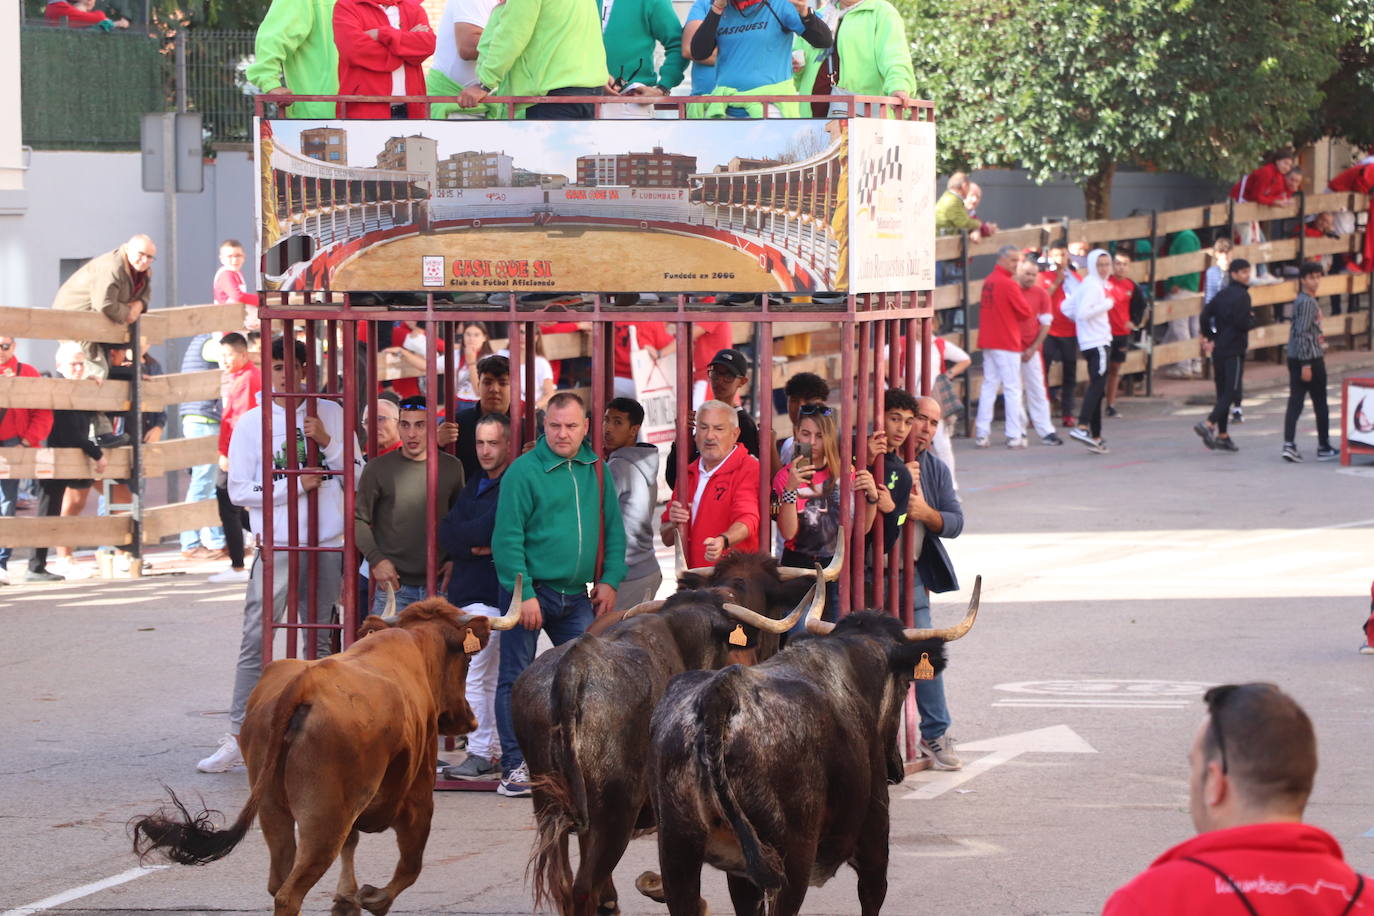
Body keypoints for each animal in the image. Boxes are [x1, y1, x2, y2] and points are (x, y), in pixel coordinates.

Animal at [129, 590, 524, 911]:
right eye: (467, 660)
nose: (467, 720)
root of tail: (303, 685)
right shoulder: (418, 798)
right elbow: (409, 867)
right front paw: (371, 897)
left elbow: (352, 852)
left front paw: (347, 899)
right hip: (324, 819)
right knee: (290, 893)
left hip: (274, 809)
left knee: (278, 882)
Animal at [648, 579, 983, 916]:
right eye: (906, 685)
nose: (896, 769)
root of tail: (720, 695)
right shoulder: (874, 841)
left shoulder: (741, 877)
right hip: (792, 861)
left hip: (679, 855)